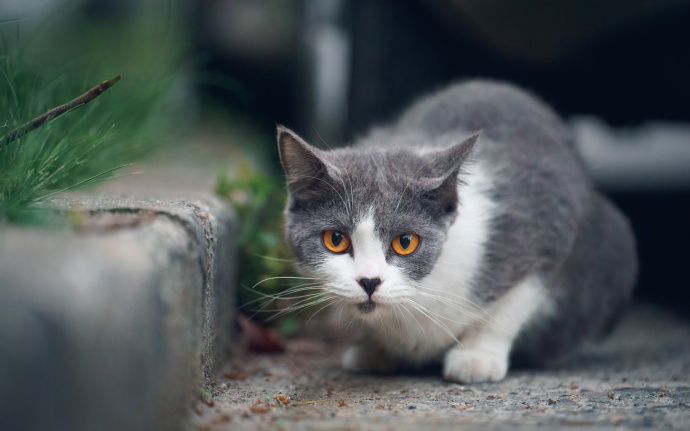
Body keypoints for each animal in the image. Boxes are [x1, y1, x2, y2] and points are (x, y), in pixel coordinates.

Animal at [272, 80, 636, 382]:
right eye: (335, 239)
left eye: (406, 242)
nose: (369, 281)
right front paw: (378, 350)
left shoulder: (549, 227)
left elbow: (515, 302)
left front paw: (477, 357)